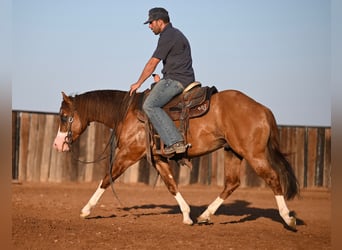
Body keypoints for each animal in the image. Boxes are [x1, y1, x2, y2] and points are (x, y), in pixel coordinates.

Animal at [53, 88, 300, 230]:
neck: (128, 112)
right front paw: (188, 216)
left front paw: (86, 210)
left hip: (254, 154)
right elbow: (171, 184)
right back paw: (205, 216)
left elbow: (105, 179)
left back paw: (288, 218)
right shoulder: (158, 160)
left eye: (64, 116)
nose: (57, 144)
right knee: (232, 183)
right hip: (233, 152)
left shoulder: (128, 154)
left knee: (273, 179)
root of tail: (263, 110)